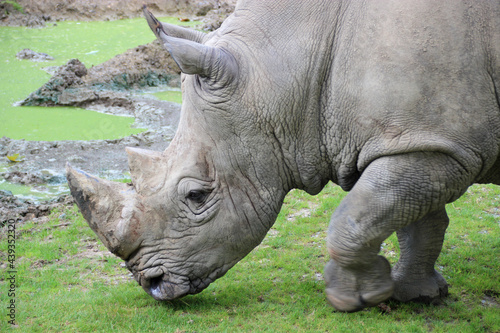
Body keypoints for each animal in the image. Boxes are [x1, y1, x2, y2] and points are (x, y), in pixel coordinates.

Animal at [67, 0, 500, 312]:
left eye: (197, 196)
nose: (152, 285)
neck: (283, 70)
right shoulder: (420, 138)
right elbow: (415, 218)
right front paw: (417, 295)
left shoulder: (438, 145)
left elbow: (355, 217)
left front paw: (354, 298)